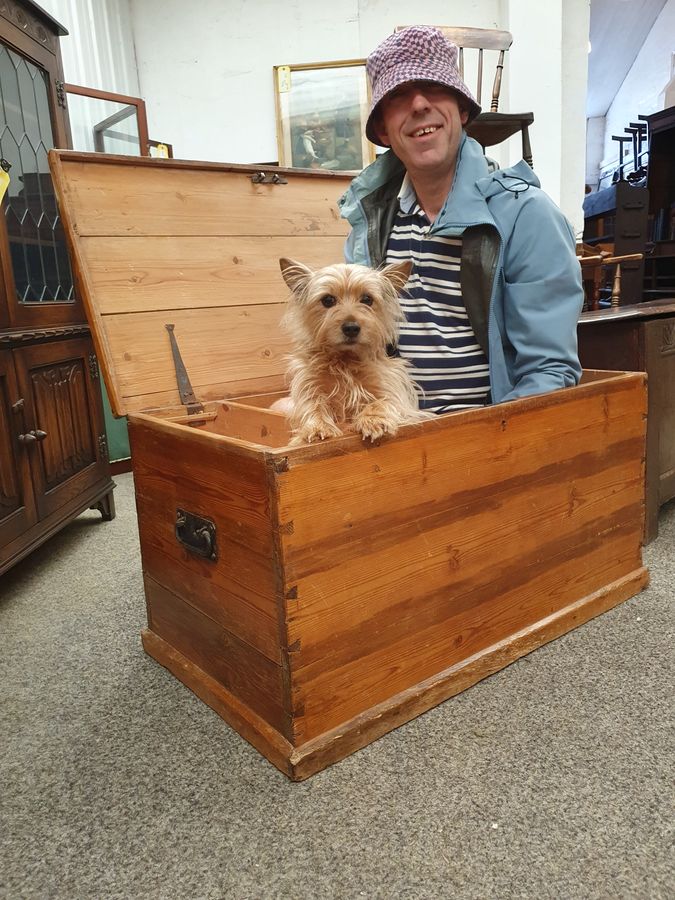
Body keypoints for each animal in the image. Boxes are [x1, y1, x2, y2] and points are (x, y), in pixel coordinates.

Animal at [274, 258, 428, 444]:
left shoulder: (394, 392)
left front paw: (373, 420)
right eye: (328, 300)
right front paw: (317, 427)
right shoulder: (309, 385)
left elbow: (382, 401)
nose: (351, 328)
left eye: (367, 299)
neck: (345, 360)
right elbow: (313, 405)